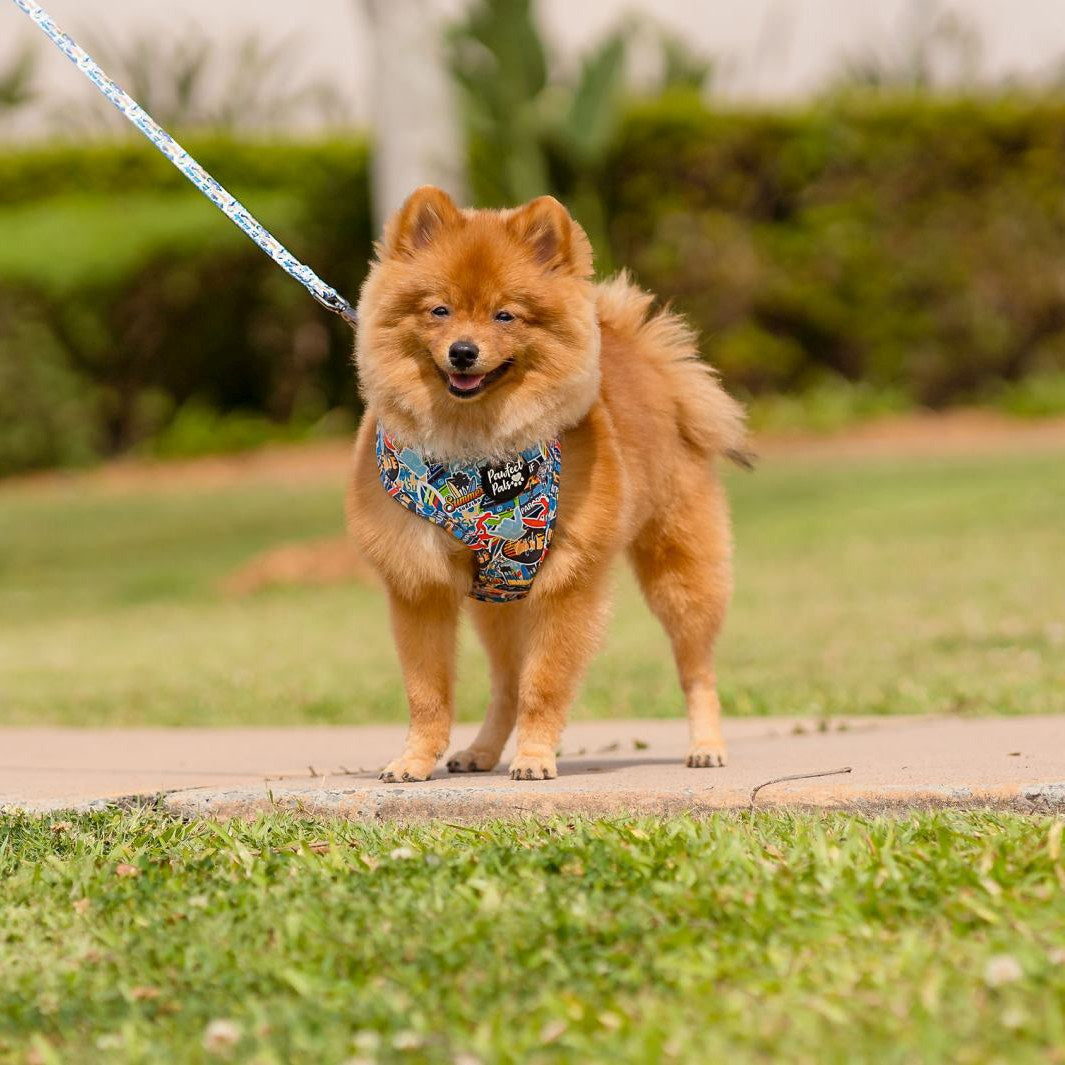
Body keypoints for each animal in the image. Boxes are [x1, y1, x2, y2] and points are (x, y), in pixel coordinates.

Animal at [345, 185, 745, 783]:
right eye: (439, 311)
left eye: (505, 315)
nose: (463, 351)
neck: (475, 456)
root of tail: (644, 357)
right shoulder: (421, 584)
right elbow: (429, 692)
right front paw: (415, 759)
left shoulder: (567, 583)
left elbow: (545, 683)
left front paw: (535, 756)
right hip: (495, 603)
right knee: (505, 684)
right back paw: (480, 752)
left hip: (681, 572)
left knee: (696, 667)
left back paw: (707, 745)